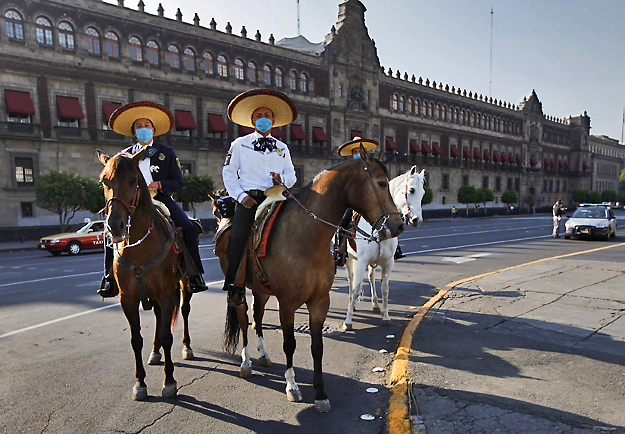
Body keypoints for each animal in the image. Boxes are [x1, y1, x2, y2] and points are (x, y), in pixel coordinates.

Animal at [97, 147, 194, 402]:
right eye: (104, 181)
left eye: (133, 180)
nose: (114, 226)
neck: (140, 245)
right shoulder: (128, 299)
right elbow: (135, 339)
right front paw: (140, 383)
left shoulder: (167, 292)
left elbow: (167, 336)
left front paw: (169, 381)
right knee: (160, 318)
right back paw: (154, 352)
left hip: (184, 285)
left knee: (184, 311)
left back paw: (187, 347)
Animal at [214, 145, 402, 410]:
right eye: (381, 183)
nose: (398, 225)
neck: (306, 236)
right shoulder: (287, 304)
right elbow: (290, 344)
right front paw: (292, 386)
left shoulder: (319, 301)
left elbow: (317, 346)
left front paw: (320, 393)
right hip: (238, 285)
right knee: (242, 317)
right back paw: (246, 362)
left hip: (261, 288)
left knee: (257, 315)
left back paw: (263, 354)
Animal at [342, 168, 424, 330]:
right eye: (411, 190)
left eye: (423, 193)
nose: (416, 220)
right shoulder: (361, 261)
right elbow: (356, 288)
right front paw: (348, 320)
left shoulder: (388, 263)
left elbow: (385, 289)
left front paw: (385, 316)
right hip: (349, 258)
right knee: (351, 279)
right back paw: (351, 305)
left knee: (370, 277)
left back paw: (374, 304)